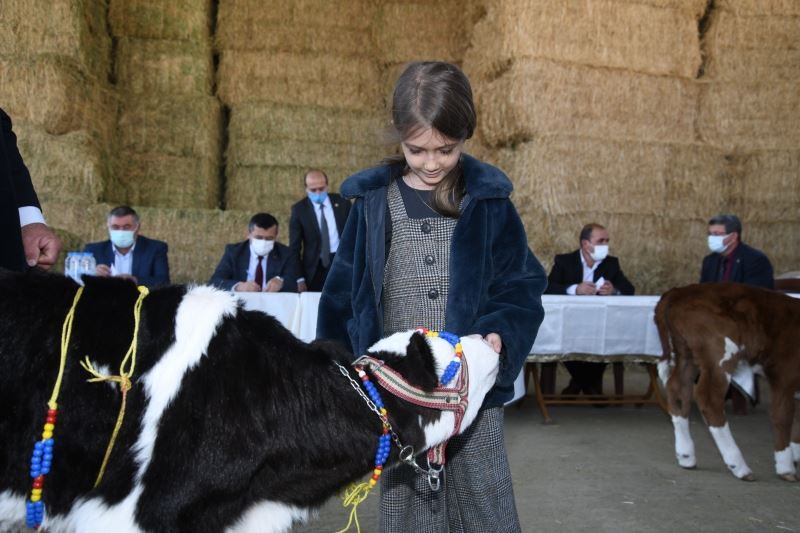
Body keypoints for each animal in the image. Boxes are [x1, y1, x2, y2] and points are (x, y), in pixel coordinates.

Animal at [656, 284, 800, 480]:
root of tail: (678, 292)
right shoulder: (785, 373)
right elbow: (782, 415)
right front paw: (786, 467)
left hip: (686, 352)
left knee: (678, 390)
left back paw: (686, 456)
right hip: (718, 355)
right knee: (709, 399)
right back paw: (739, 467)